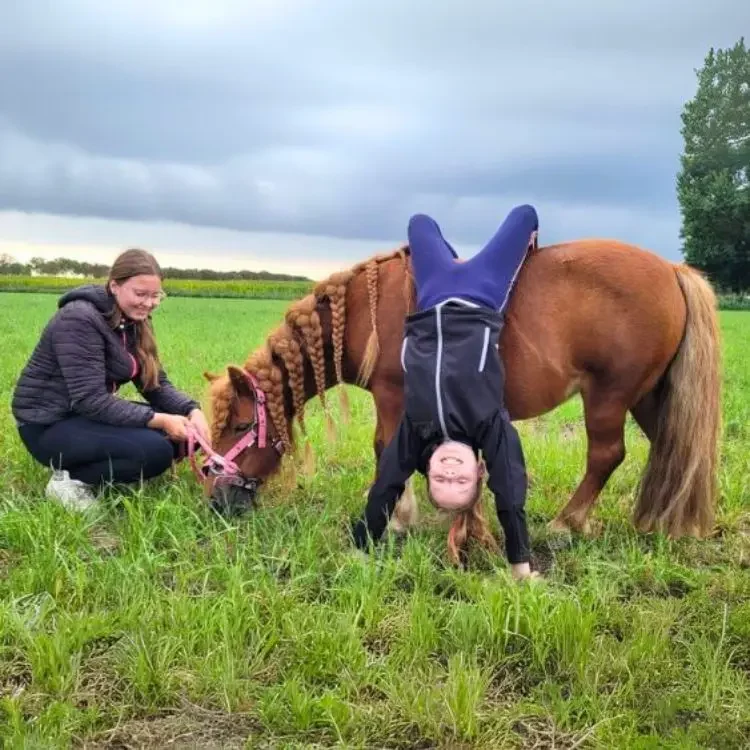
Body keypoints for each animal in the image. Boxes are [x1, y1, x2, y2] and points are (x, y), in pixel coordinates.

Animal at [197, 238, 722, 560]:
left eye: (241, 427)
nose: (218, 501)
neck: (366, 311)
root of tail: (671, 270)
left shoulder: (392, 395)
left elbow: (385, 451)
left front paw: (398, 520)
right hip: (648, 395)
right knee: (670, 448)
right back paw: (659, 518)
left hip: (610, 395)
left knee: (607, 455)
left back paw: (567, 524)